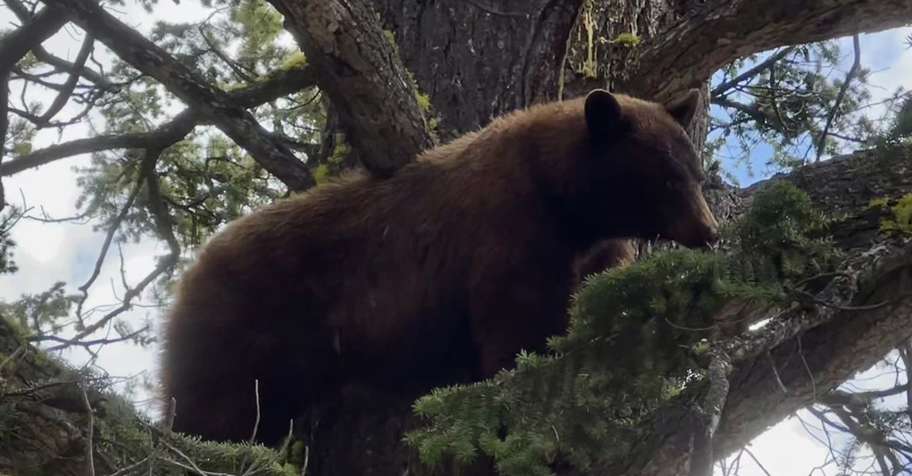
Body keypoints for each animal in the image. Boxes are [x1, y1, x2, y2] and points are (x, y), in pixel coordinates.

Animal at [160, 89, 720, 445]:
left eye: (696, 174)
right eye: (666, 178)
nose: (710, 231)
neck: (567, 202)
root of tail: (191, 271)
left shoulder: (594, 253)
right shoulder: (509, 232)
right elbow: (516, 327)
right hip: (244, 327)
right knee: (211, 408)